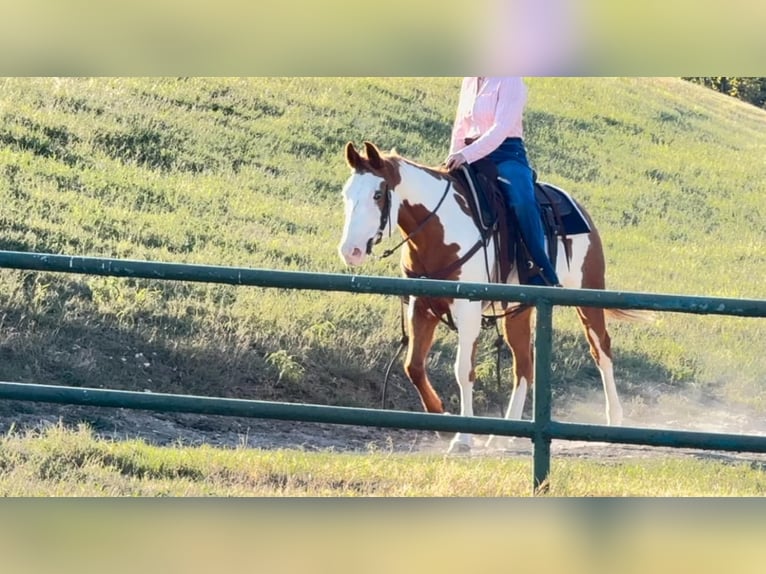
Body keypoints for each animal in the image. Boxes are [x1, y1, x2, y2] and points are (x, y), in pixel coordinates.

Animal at [340, 141, 644, 454]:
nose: (350, 251)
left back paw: (613, 420)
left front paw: (462, 437)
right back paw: (506, 434)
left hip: (586, 295)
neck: (440, 229)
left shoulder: (468, 310)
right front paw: (443, 423)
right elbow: (413, 366)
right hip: (519, 309)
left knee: (601, 349)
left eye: (377, 194)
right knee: (524, 364)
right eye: (346, 194)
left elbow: (463, 370)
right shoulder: (422, 306)